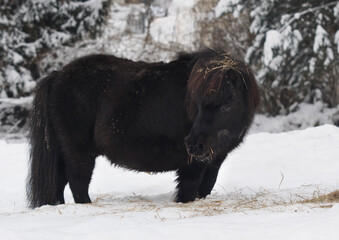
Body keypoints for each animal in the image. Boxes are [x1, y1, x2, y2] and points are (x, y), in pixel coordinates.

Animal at [27, 48, 260, 208]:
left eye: (227, 105)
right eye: (198, 103)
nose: (193, 145)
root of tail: (58, 75)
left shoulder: (212, 163)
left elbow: (205, 189)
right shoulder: (192, 166)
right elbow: (188, 192)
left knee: (59, 183)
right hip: (79, 152)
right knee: (78, 183)